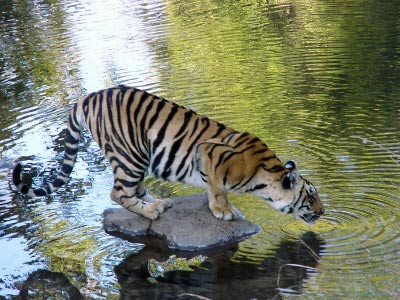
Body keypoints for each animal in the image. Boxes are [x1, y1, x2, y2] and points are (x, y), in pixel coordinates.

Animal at [12, 85, 324, 224]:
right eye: (311, 196)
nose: (323, 212)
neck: (265, 177)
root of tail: (88, 97)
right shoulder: (209, 151)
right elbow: (218, 189)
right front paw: (224, 211)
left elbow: (214, 187)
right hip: (130, 154)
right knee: (118, 193)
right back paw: (152, 211)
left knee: (135, 189)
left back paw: (159, 202)